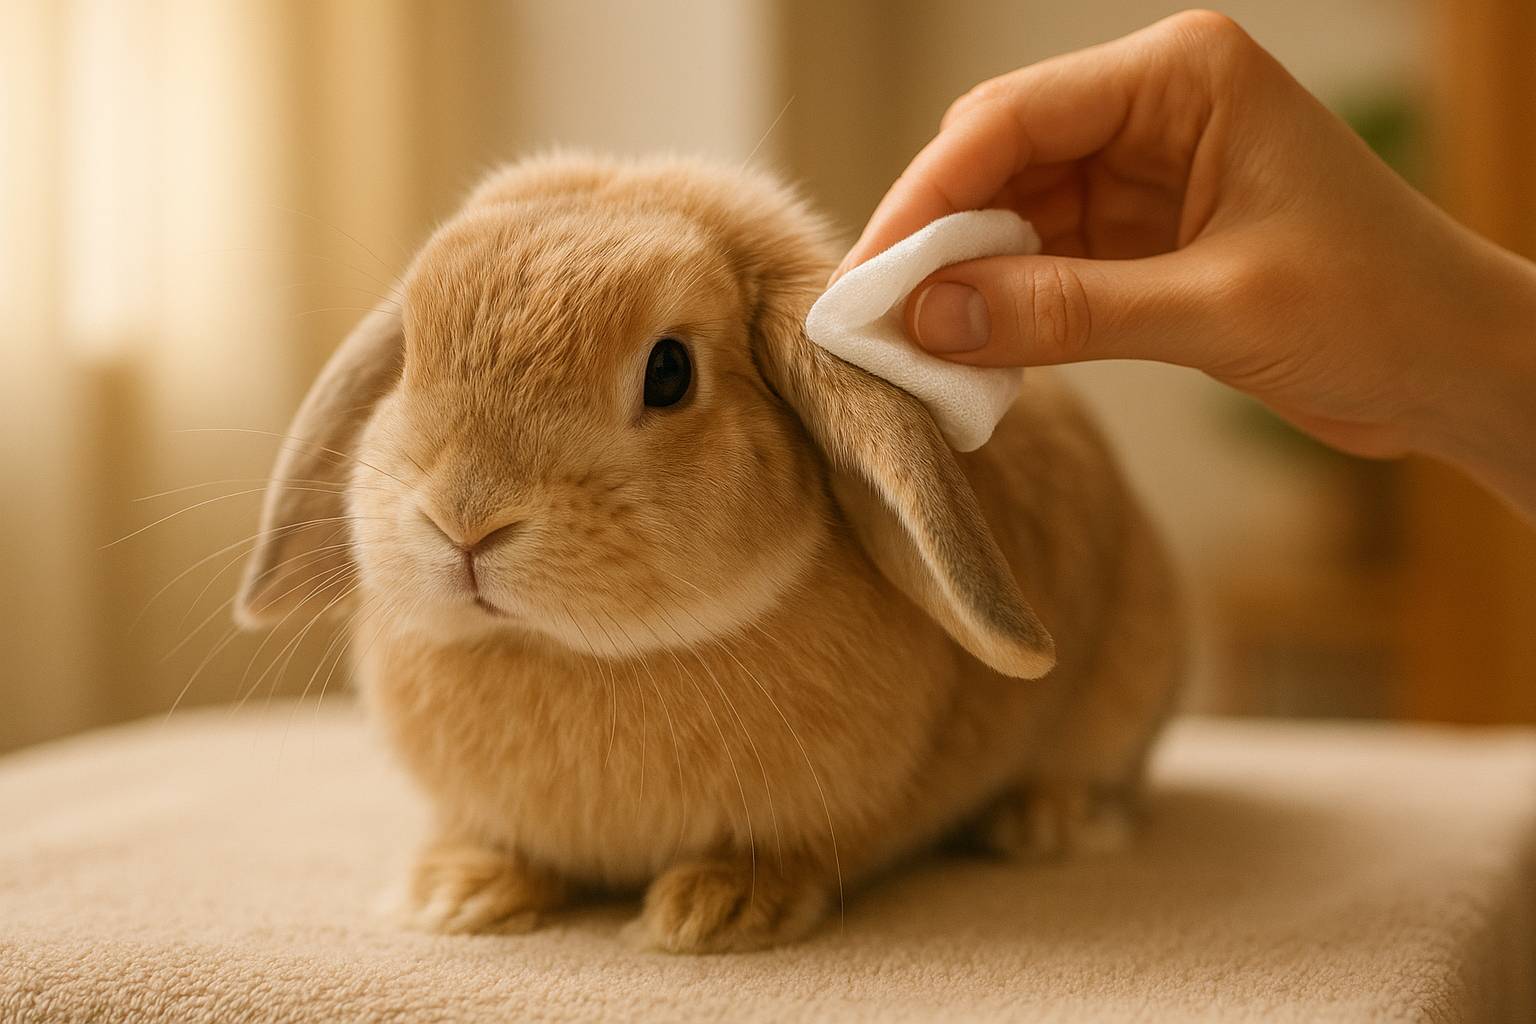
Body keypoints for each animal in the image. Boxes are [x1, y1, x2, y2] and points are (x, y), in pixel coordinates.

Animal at [235, 152, 1183, 954]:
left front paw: (714, 911)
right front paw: (452, 894)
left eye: (669, 371)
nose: (464, 520)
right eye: (407, 360)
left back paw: (1043, 823)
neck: (574, 654)